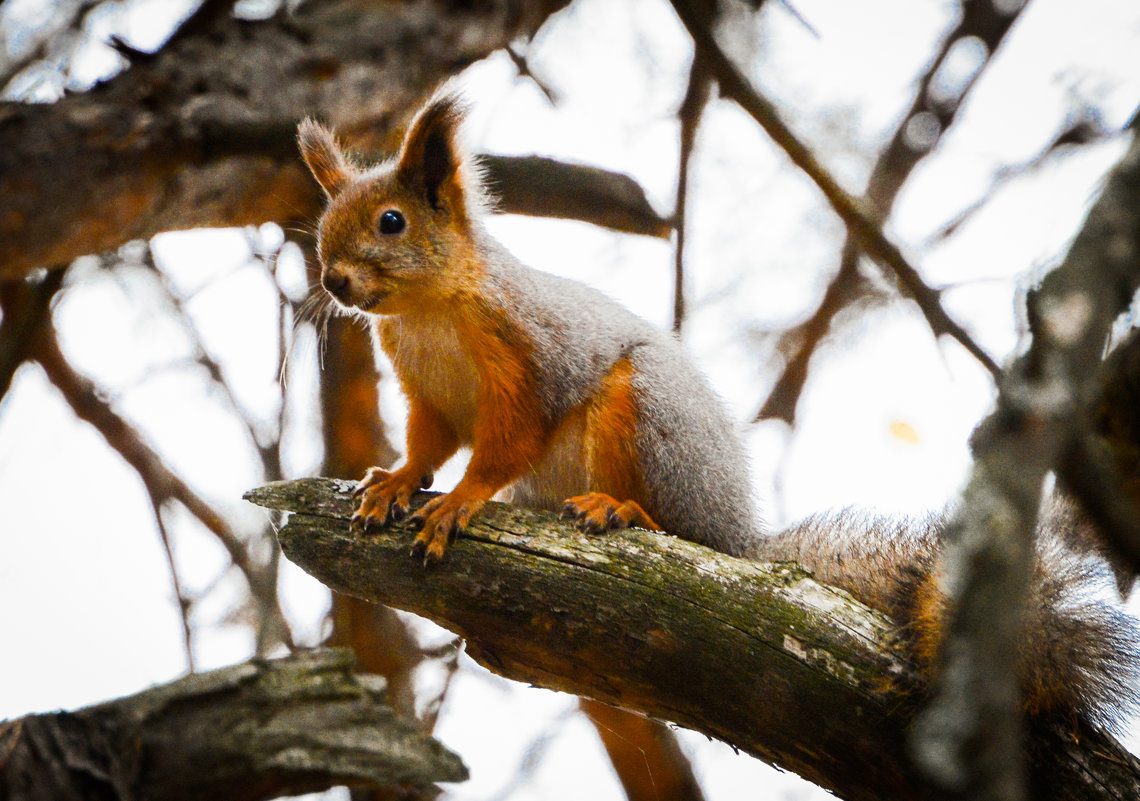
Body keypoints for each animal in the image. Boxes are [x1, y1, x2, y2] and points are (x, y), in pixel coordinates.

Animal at [296, 87, 1140, 733]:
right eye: (325, 222)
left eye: (392, 221)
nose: (334, 281)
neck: (427, 310)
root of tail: (739, 538)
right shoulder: (425, 392)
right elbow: (428, 442)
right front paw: (392, 481)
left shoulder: (528, 360)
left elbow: (506, 443)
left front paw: (460, 500)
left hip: (645, 411)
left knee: (673, 526)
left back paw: (620, 509)